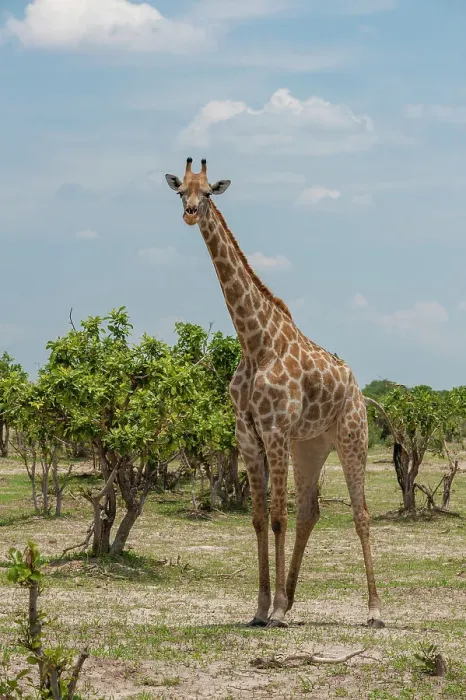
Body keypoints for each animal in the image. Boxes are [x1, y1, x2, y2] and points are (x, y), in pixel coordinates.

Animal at [165, 158, 384, 629]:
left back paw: (375, 609)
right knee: (310, 512)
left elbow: (278, 517)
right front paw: (263, 607)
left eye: (208, 192)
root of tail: (357, 389)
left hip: (352, 436)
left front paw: (277, 611)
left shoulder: (275, 430)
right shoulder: (248, 435)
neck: (255, 342)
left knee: (359, 513)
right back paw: (291, 600)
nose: (190, 213)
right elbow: (259, 518)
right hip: (310, 446)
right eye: (180, 191)